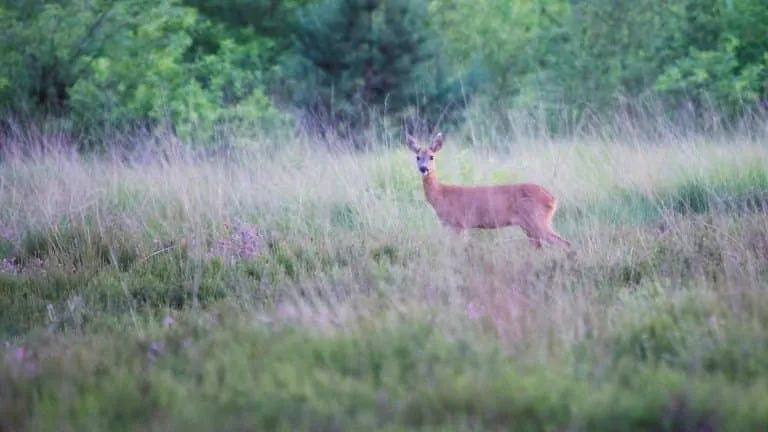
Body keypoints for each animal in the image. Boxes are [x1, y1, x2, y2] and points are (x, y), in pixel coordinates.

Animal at [408, 132, 568, 248]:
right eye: (417, 157)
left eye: (432, 156)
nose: (424, 168)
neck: (441, 194)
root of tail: (552, 199)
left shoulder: (458, 223)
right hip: (530, 226)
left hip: (536, 220)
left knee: (565, 243)